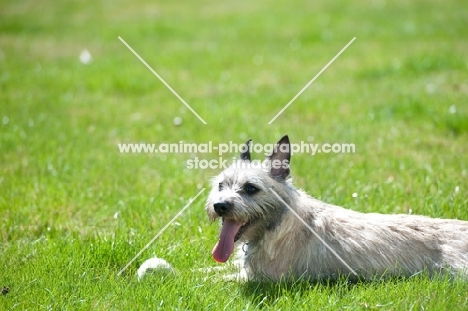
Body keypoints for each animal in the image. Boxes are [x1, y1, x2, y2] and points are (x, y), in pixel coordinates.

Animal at [206, 136, 468, 282]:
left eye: (251, 188)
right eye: (221, 185)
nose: (220, 206)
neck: (278, 224)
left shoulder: (259, 278)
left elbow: (214, 279)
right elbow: (209, 269)